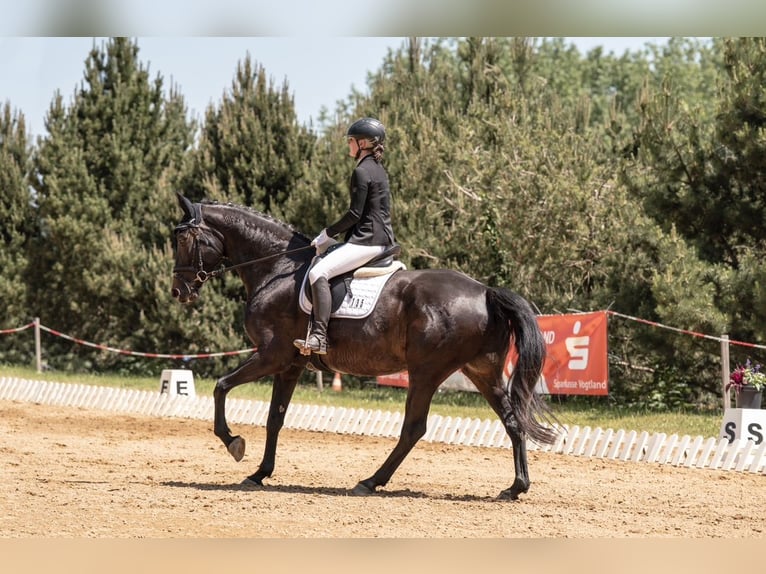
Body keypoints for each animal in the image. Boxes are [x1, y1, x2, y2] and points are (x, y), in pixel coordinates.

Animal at [170, 192, 557, 500]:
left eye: (184, 240)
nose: (178, 292)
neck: (276, 268)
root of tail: (486, 292)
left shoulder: (272, 355)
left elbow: (221, 387)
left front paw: (233, 443)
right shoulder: (291, 365)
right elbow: (274, 419)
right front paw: (259, 473)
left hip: (426, 372)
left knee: (414, 428)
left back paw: (370, 482)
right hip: (481, 372)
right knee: (512, 420)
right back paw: (516, 487)